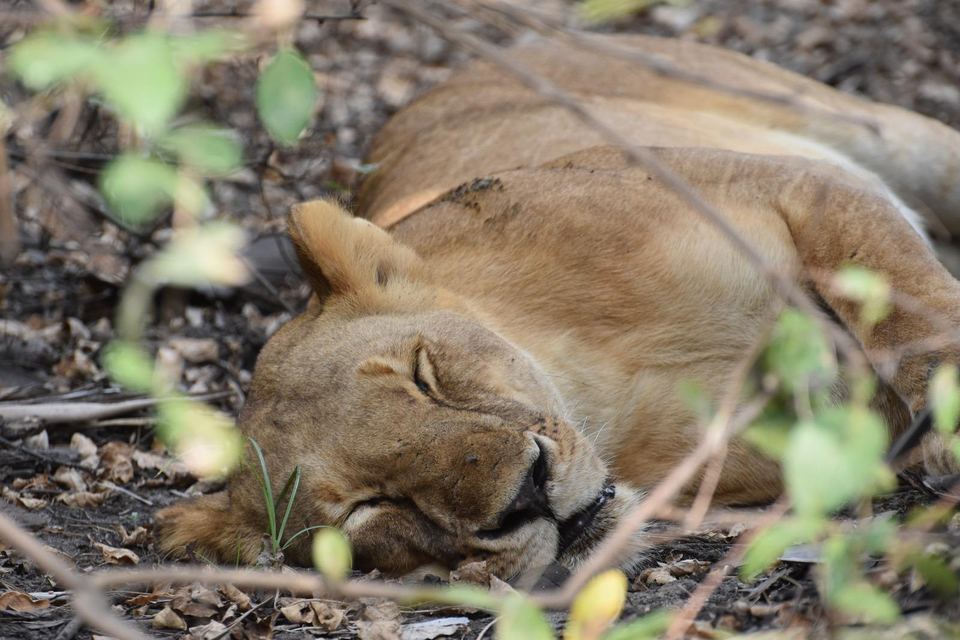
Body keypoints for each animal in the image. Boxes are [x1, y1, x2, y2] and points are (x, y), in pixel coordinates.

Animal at [157, 34, 960, 581]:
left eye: (424, 376)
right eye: (370, 507)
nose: (526, 495)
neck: (602, 387)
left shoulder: (803, 188)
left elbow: (911, 307)